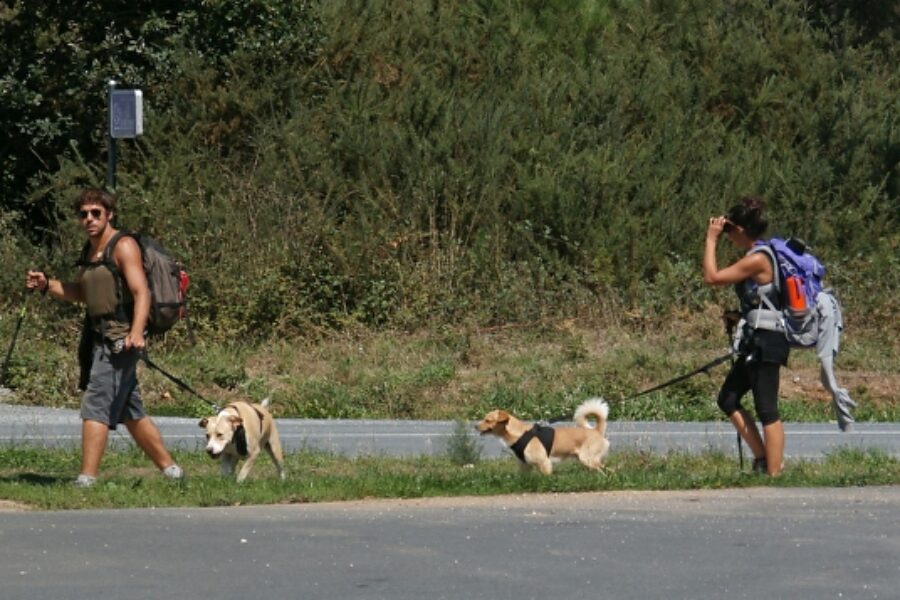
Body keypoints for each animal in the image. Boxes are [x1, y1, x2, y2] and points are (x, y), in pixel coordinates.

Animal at [474, 396, 608, 476]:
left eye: (487, 420)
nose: (475, 426)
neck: (519, 434)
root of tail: (596, 431)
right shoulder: (524, 465)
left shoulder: (544, 463)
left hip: (587, 459)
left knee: (603, 469)